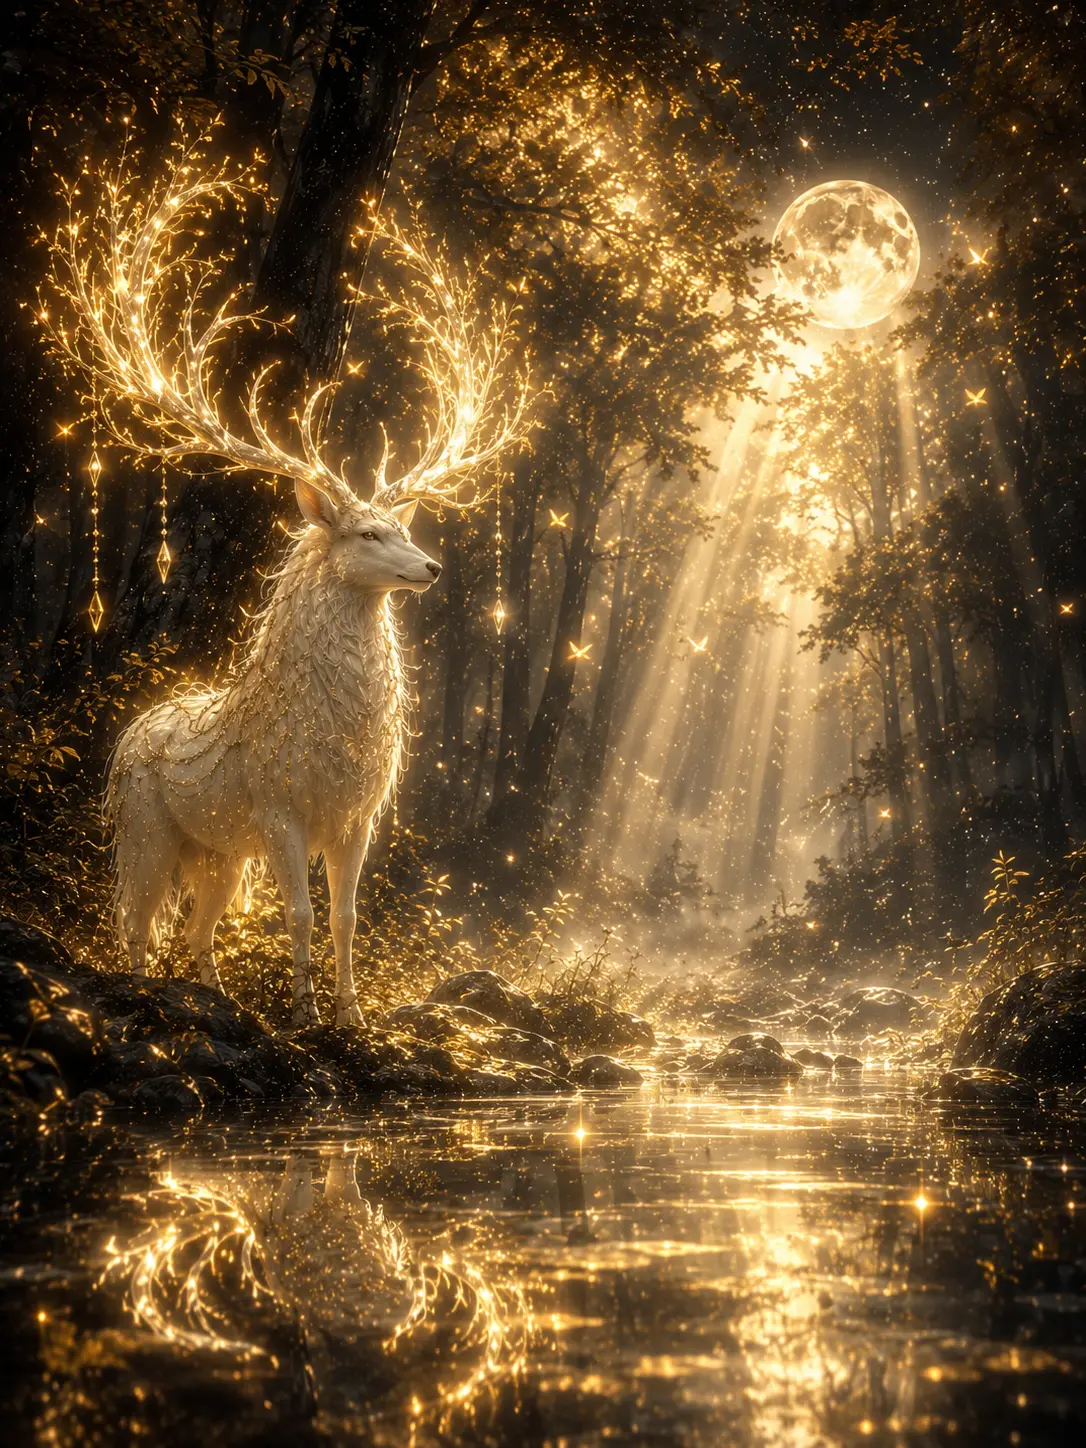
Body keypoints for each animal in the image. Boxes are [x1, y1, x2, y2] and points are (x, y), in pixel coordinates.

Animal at [43, 151, 528, 1026]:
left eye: (399, 526)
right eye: (367, 534)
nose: (431, 568)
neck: (334, 740)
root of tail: (135, 727)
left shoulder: (357, 814)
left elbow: (344, 915)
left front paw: (350, 1014)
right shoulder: (279, 808)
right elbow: (299, 913)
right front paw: (303, 1012)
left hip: (216, 851)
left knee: (196, 927)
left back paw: (212, 996)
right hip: (147, 828)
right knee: (136, 917)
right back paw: (145, 991)